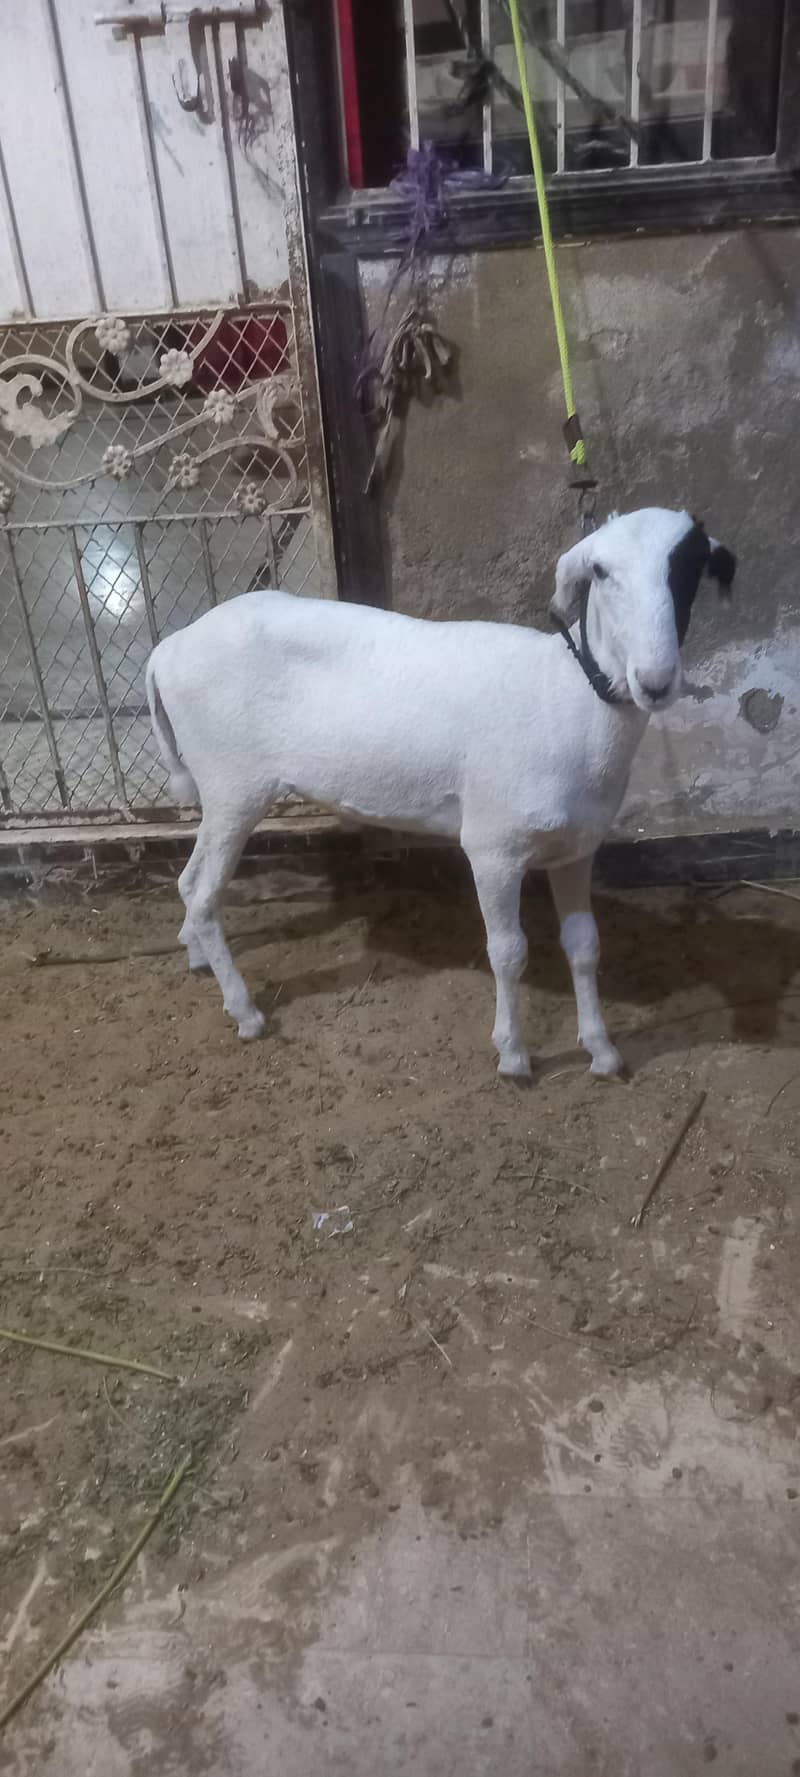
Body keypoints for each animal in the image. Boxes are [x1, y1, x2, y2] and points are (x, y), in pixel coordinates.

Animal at [146, 507, 735, 1079]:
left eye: (691, 567)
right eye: (602, 572)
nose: (655, 682)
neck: (567, 698)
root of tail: (166, 649)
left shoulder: (576, 849)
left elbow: (585, 947)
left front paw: (602, 1051)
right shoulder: (494, 847)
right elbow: (509, 953)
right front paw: (513, 1056)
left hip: (222, 790)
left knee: (188, 881)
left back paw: (197, 958)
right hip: (234, 784)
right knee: (203, 894)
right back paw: (245, 1012)